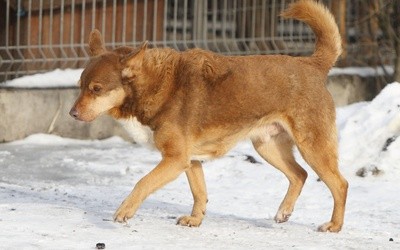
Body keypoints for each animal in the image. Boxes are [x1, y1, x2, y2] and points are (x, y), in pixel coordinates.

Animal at [71, 0, 346, 232]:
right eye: (80, 85)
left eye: (96, 89)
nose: (72, 113)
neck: (155, 86)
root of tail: (312, 64)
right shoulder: (190, 161)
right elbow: (199, 193)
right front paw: (195, 219)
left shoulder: (175, 160)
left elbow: (142, 182)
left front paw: (125, 211)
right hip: (267, 146)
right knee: (300, 175)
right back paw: (284, 211)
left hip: (313, 147)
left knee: (340, 184)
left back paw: (334, 225)